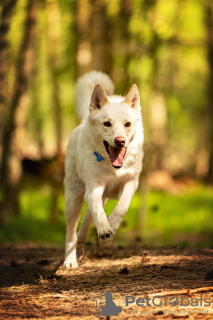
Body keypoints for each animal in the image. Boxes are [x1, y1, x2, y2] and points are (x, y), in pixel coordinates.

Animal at [62, 72, 143, 268]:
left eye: (127, 124)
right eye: (107, 124)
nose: (120, 141)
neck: (113, 168)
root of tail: (85, 119)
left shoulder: (131, 183)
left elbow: (121, 208)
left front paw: (111, 228)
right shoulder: (94, 188)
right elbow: (98, 211)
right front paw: (105, 229)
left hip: (100, 195)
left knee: (87, 216)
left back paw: (84, 235)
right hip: (73, 198)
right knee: (71, 231)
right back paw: (70, 260)